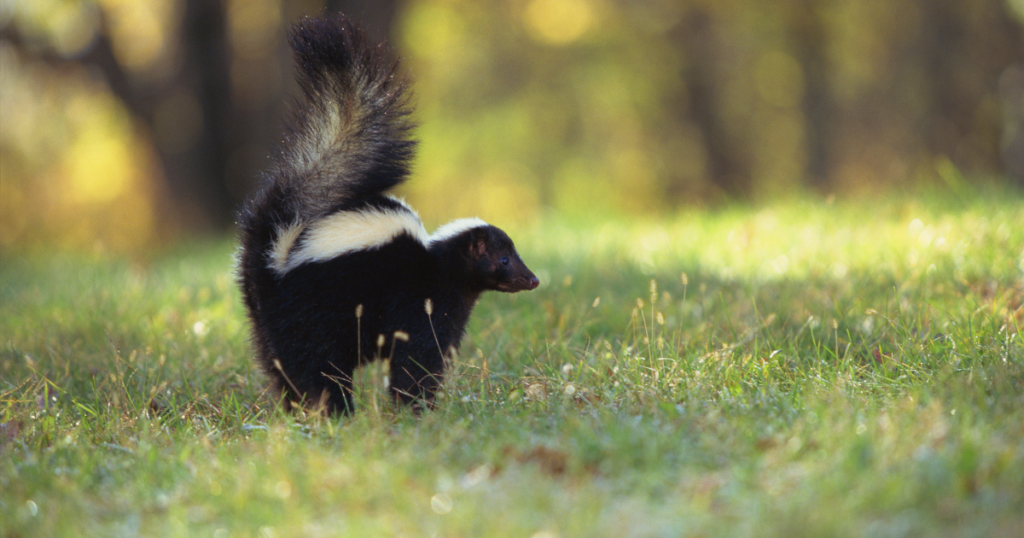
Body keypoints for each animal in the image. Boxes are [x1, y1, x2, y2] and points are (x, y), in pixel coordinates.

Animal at [237, 14, 544, 414]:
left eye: (513, 256)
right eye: (504, 259)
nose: (532, 279)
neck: (439, 264)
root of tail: (276, 253)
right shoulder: (420, 303)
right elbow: (417, 357)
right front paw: (417, 408)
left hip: (266, 321)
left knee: (279, 364)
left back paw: (296, 410)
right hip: (312, 312)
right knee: (317, 364)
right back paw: (334, 410)